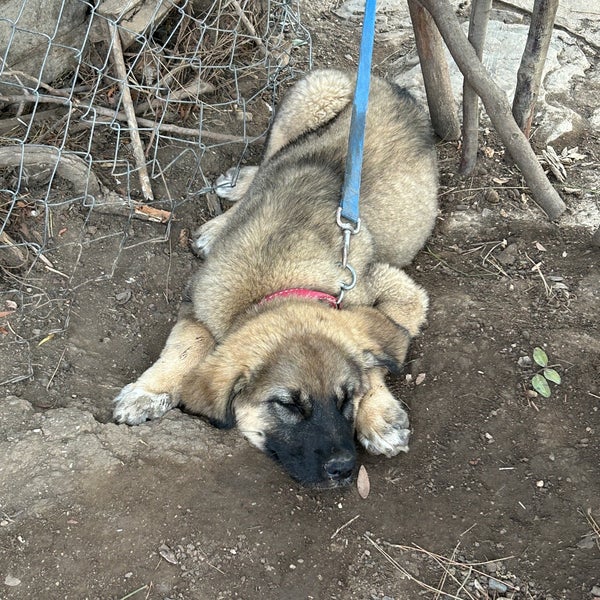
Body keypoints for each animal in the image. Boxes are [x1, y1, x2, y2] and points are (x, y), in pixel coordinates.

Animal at [113, 69, 436, 488]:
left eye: (346, 399)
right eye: (288, 406)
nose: (344, 469)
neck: (274, 281)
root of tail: (388, 85)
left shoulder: (398, 290)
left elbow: (373, 356)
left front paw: (378, 415)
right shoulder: (198, 302)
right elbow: (182, 348)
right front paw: (147, 391)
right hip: (308, 99)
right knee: (269, 161)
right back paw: (225, 211)